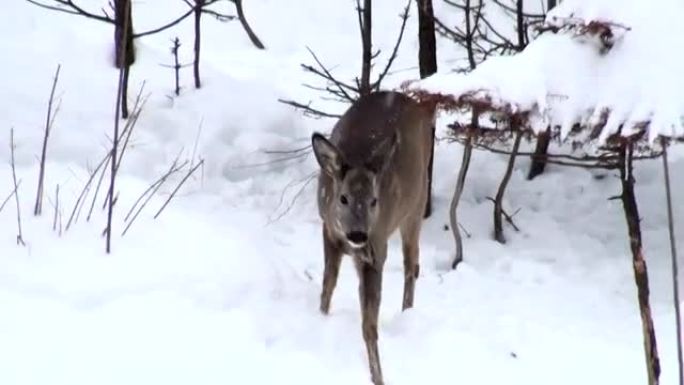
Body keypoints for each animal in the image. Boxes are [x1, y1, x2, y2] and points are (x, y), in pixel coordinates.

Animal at [312, 91, 432, 384]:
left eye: (374, 200)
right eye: (343, 198)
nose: (358, 233)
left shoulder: (376, 248)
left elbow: (369, 326)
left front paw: (378, 377)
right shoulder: (328, 232)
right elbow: (327, 288)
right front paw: (321, 320)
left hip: (416, 204)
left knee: (412, 264)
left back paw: (407, 313)